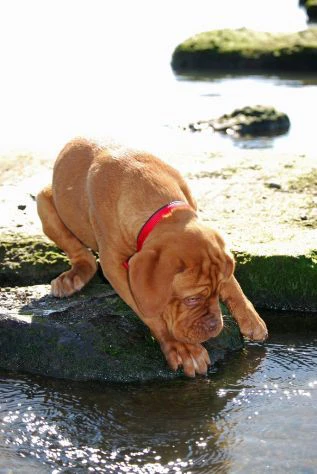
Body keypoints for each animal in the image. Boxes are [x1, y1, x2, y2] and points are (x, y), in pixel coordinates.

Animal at [38, 138, 268, 378]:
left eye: (216, 292)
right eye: (191, 299)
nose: (215, 326)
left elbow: (232, 283)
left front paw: (250, 316)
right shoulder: (115, 267)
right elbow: (150, 313)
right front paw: (183, 349)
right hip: (44, 203)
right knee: (83, 255)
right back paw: (73, 277)